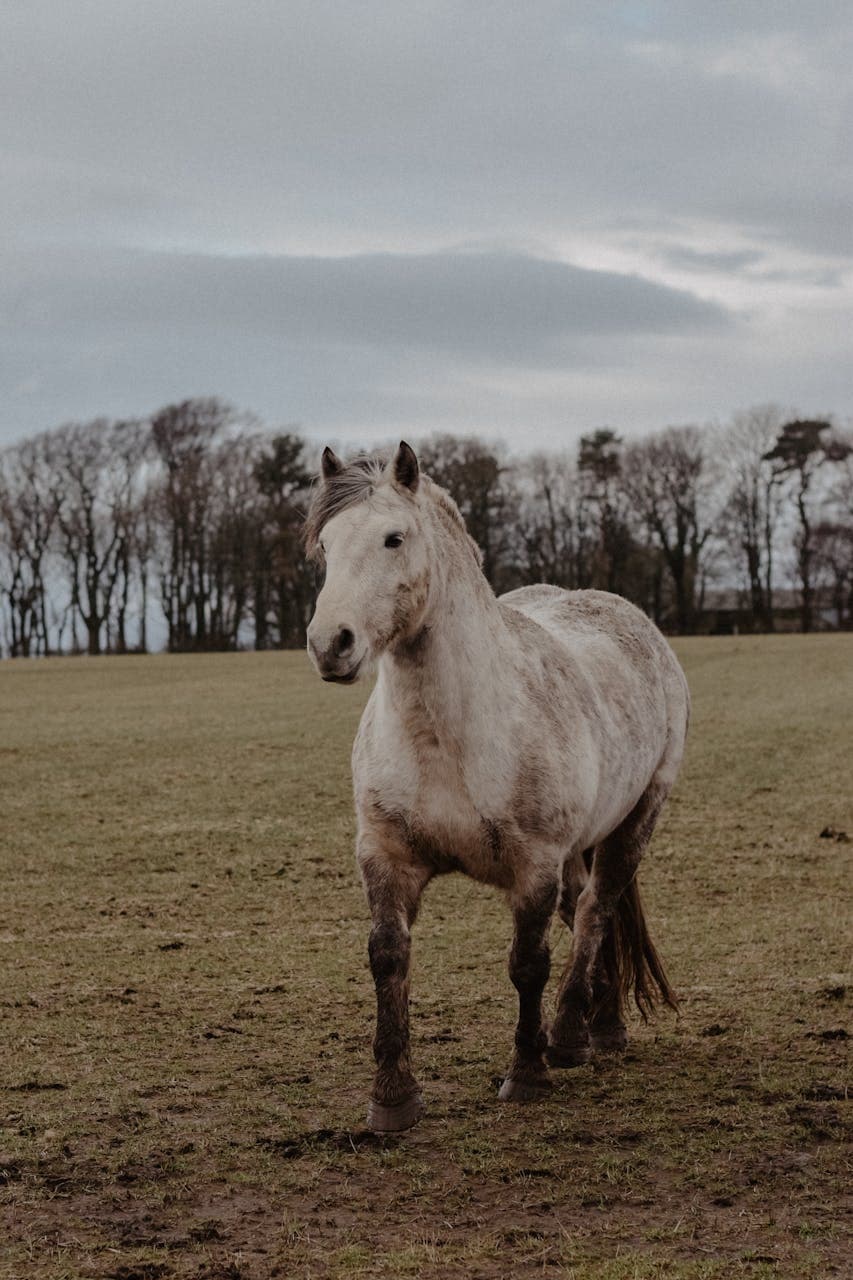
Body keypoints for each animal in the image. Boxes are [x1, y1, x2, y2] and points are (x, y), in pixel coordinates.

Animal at [304, 441, 689, 1133]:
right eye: (325, 545)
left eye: (394, 538)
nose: (330, 644)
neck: (445, 736)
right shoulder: (385, 856)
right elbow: (387, 957)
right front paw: (393, 1099)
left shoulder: (533, 865)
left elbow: (527, 964)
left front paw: (526, 1074)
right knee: (584, 908)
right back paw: (599, 1026)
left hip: (635, 822)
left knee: (596, 911)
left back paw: (572, 1037)